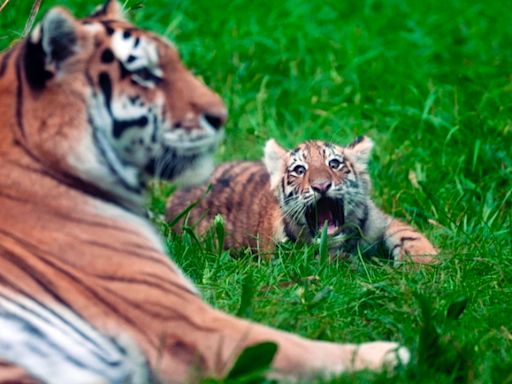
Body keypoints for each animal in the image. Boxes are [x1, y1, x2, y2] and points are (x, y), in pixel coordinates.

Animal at [0, 1, 408, 382]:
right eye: (145, 74)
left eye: (336, 165)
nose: (220, 116)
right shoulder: (185, 321)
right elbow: (296, 346)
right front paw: (391, 354)